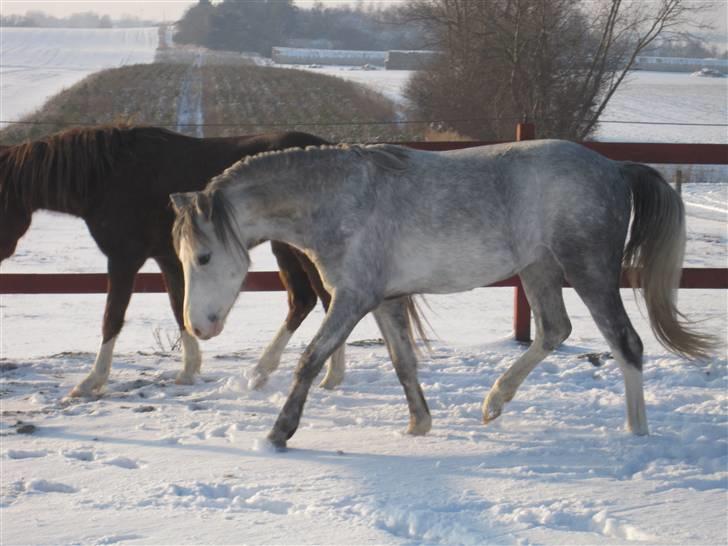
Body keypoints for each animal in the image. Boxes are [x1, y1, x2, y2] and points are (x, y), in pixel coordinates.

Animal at [0, 125, 348, 397]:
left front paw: (91, 381)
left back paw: (329, 376)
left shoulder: (124, 259)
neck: (107, 179)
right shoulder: (167, 258)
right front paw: (189, 370)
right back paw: (270, 372)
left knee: (323, 298)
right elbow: (179, 307)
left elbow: (112, 317)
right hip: (287, 248)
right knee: (304, 300)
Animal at [171, 139, 716, 448]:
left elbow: (309, 360)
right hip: (539, 269)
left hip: (589, 270)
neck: (340, 198)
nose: (200, 325)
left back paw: (637, 435)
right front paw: (419, 425)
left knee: (627, 344)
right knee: (554, 331)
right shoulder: (385, 299)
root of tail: (614, 167)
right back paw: (494, 403)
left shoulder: (353, 297)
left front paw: (279, 434)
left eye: (204, 258)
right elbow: (403, 362)